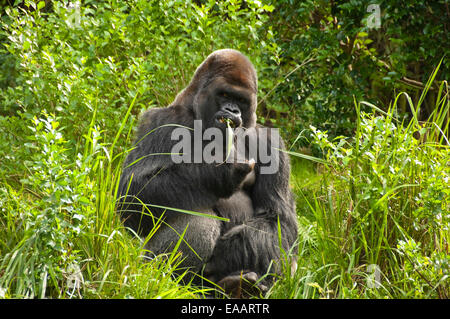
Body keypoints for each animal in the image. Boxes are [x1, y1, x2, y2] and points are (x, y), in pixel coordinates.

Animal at [118, 49, 298, 298]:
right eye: (224, 94)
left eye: (241, 101)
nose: (232, 110)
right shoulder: (159, 121)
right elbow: (134, 196)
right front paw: (220, 170)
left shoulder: (273, 143)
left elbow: (278, 218)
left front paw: (227, 255)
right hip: (147, 264)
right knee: (199, 219)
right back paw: (179, 284)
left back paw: (237, 285)